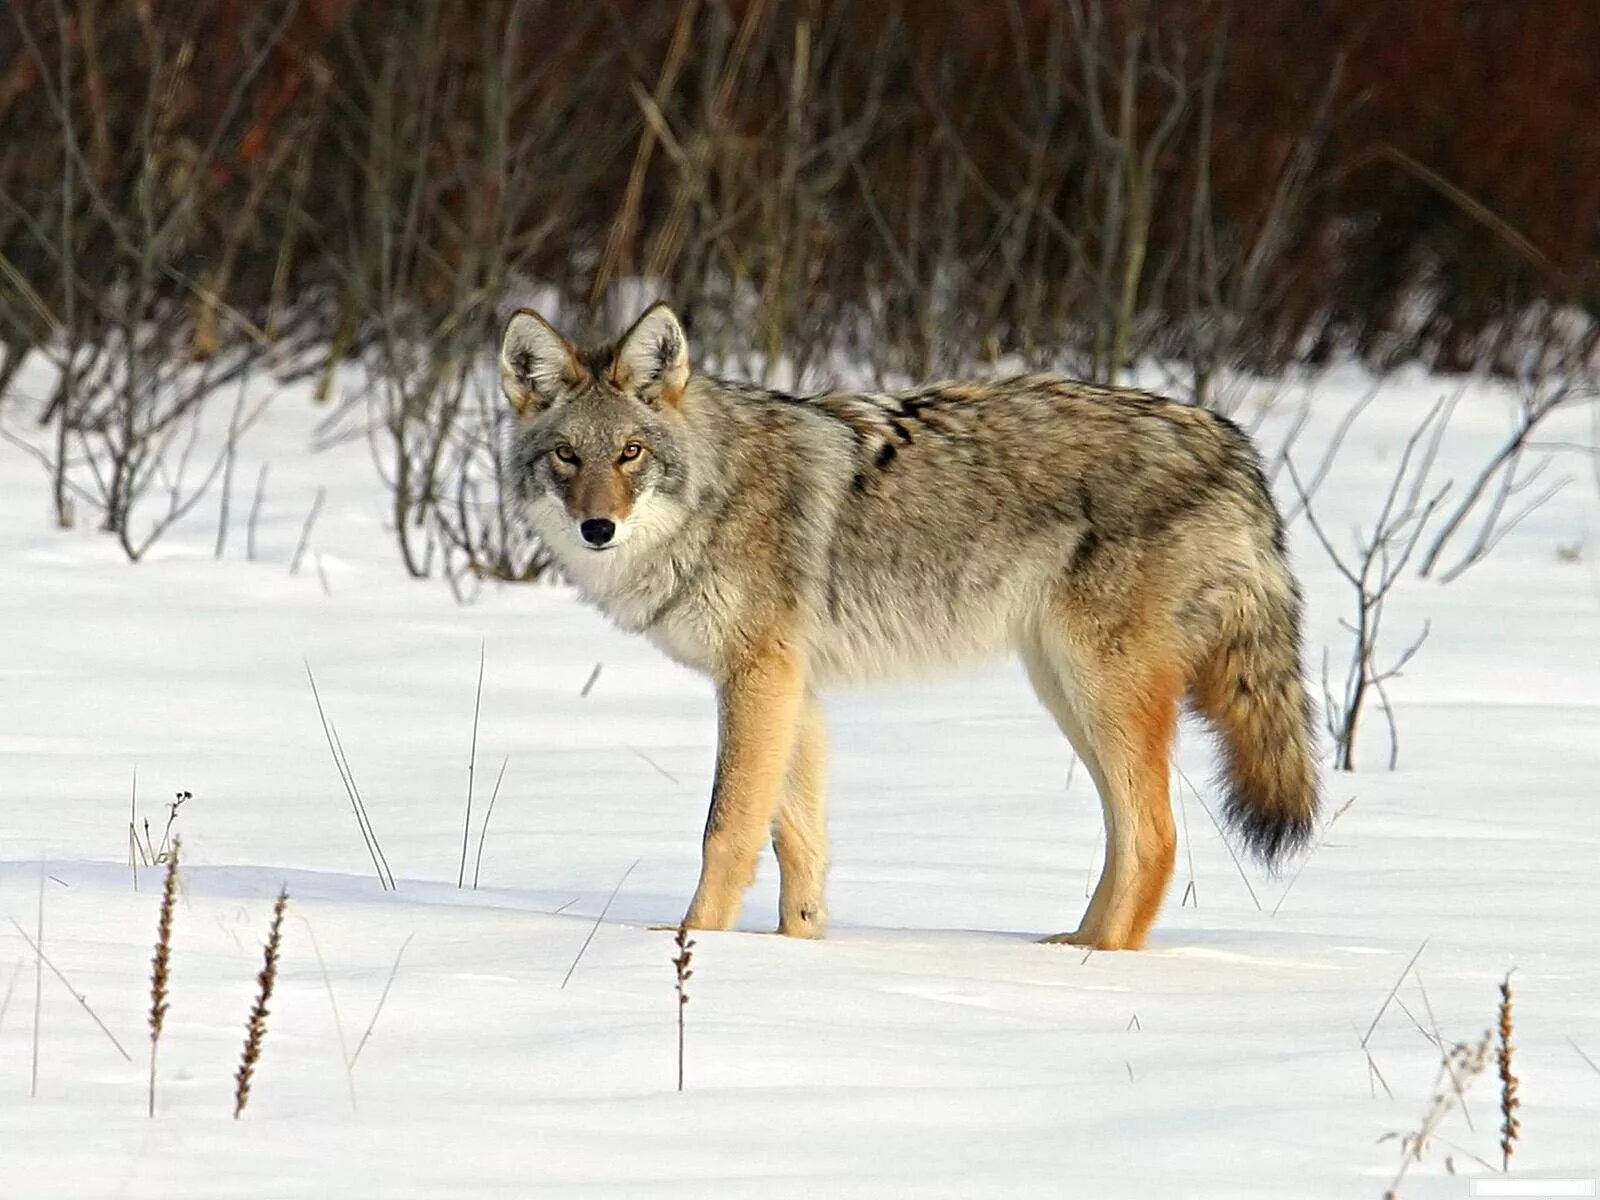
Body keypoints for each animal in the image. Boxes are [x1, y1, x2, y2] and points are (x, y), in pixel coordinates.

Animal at [502, 300, 1324, 947]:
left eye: (631, 453)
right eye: (567, 456)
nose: (598, 528)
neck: (714, 495)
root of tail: (1232, 442)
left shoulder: (757, 677)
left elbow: (726, 830)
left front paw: (694, 941)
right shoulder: (792, 689)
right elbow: (799, 842)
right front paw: (795, 949)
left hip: (1101, 690)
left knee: (1155, 835)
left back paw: (1098, 963)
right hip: (1065, 691)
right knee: (1129, 835)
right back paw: (1070, 947)